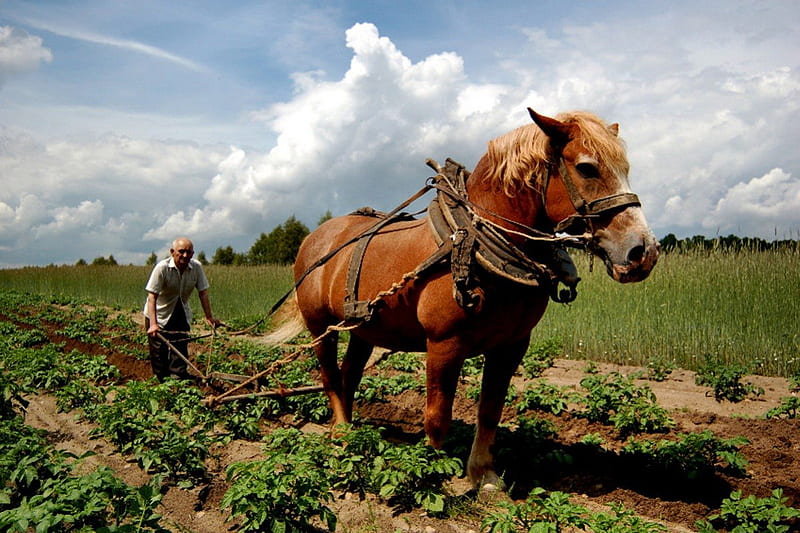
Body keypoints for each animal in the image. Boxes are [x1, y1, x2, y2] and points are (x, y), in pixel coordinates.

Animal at [274, 108, 656, 490]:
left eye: (625, 167)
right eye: (587, 167)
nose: (643, 251)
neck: (476, 240)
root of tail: (316, 238)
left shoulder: (512, 345)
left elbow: (490, 410)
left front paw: (484, 474)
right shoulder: (444, 343)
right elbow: (437, 414)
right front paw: (430, 471)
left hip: (362, 329)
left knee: (349, 376)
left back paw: (353, 433)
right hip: (320, 327)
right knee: (330, 377)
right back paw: (340, 436)